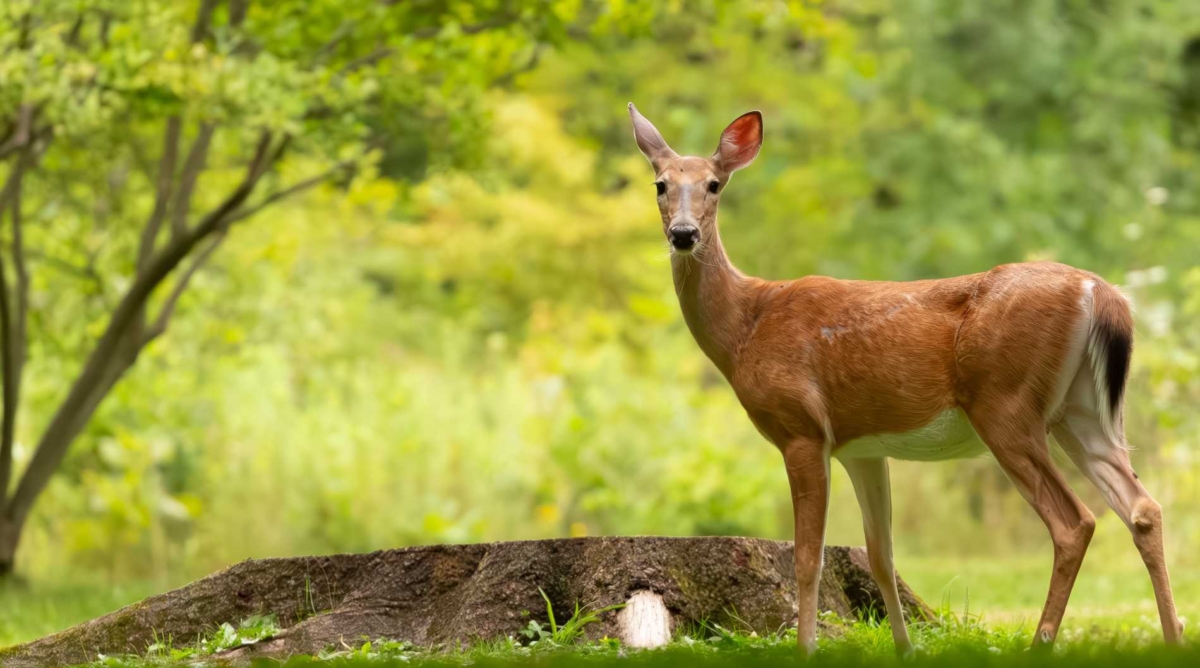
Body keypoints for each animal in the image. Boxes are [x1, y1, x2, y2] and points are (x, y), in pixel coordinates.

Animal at [633, 101, 1185, 652]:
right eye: (660, 183)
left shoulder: (802, 429)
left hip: (1006, 404)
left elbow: (808, 559)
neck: (746, 327)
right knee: (1143, 507)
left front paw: (806, 649)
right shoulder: (862, 447)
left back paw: (1041, 643)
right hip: (1080, 409)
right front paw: (904, 648)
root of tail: (1100, 291)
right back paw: (1173, 636)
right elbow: (881, 555)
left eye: (713, 184)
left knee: (1075, 523)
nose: (684, 234)